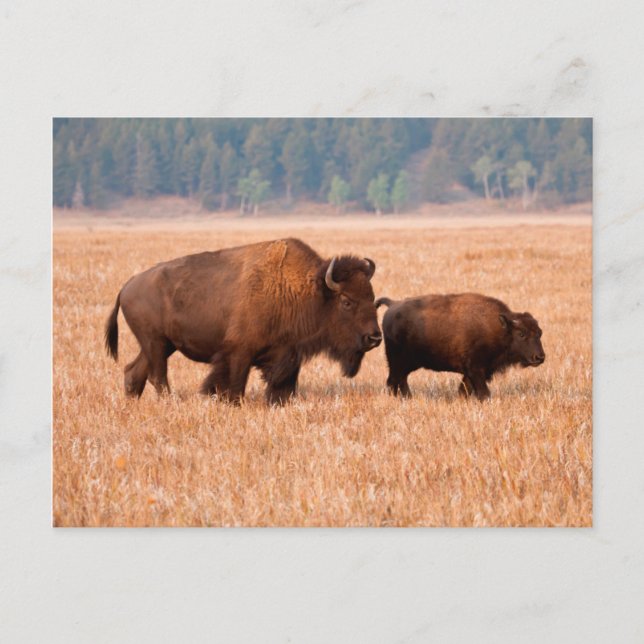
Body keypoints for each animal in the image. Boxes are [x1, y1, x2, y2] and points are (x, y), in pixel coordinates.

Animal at [105, 238, 382, 404]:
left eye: (372, 296)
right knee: (157, 376)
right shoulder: (239, 353)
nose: (374, 337)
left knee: (135, 372)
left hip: (161, 345)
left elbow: (284, 386)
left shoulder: (289, 354)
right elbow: (235, 385)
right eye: (346, 300)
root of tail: (127, 286)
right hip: (156, 343)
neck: (306, 290)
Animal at [375, 293, 545, 400]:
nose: (540, 357)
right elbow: (483, 392)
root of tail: (392, 304)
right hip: (398, 362)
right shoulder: (476, 369)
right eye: (521, 334)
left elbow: (465, 390)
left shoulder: (474, 372)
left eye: (540, 333)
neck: (501, 328)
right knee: (393, 381)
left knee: (400, 381)